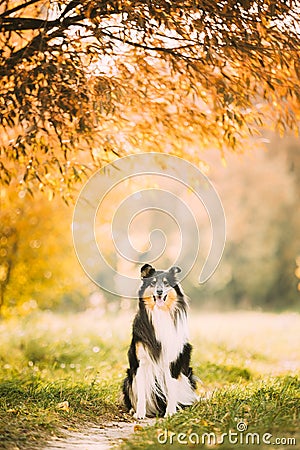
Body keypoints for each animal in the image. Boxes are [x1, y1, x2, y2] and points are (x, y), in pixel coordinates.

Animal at [122, 264, 197, 418]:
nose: (159, 292)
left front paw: (170, 412)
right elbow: (141, 393)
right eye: (152, 283)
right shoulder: (140, 362)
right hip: (128, 378)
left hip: (188, 376)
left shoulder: (172, 362)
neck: (160, 313)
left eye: (166, 283)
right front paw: (140, 413)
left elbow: (171, 389)